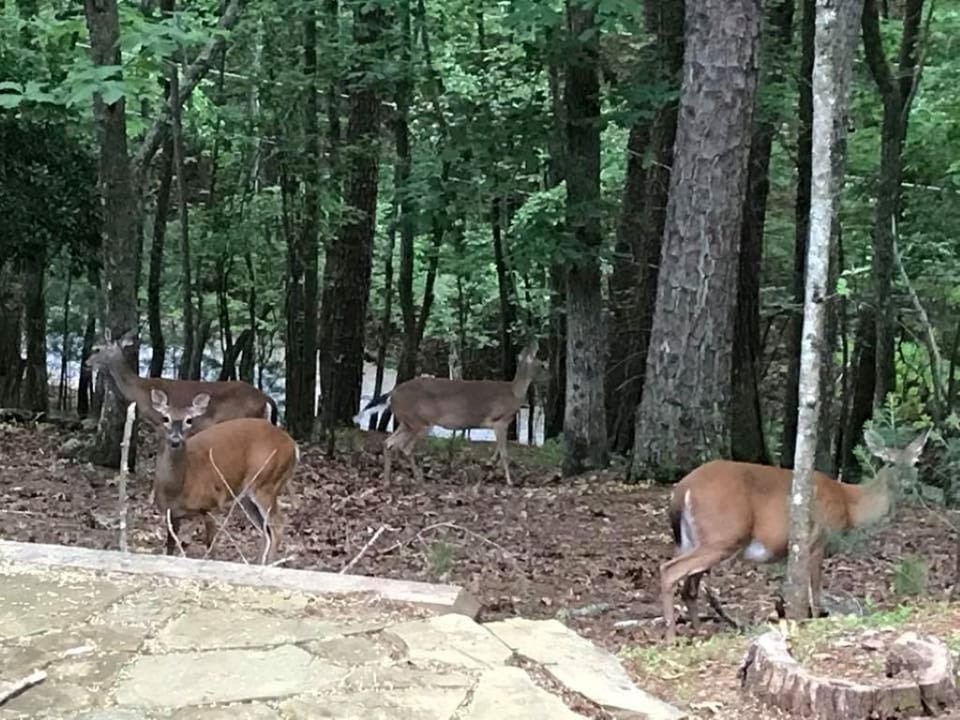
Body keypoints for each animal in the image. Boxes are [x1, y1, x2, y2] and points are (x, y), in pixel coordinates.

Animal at [150, 389, 299, 565]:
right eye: (165, 418)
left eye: (189, 420)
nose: (175, 440)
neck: (178, 488)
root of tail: (293, 446)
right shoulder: (171, 513)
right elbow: (170, 548)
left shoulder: (211, 505)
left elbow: (211, 546)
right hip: (248, 495)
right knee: (265, 529)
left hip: (267, 482)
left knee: (277, 525)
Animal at [356, 339, 544, 486]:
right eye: (542, 364)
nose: (546, 375)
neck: (514, 393)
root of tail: (392, 393)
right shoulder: (500, 420)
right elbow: (504, 454)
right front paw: (510, 481)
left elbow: (497, 452)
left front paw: (489, 469)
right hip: (420, 421)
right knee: (405, 447)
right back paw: (419, 479)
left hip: (406, 421)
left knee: (388, 443)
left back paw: (388, 480)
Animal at [659, 429, 929, 643]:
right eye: (890, 463)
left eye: (915, 462)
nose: (908, 484)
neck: (849, 504)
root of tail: (681, 490)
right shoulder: (818, 539)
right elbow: (815, 590)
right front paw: (816, 620)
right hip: (722, 535)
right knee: (668, 570)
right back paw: (672, 638)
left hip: (692, 540)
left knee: (689, 588)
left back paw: (698, 633)